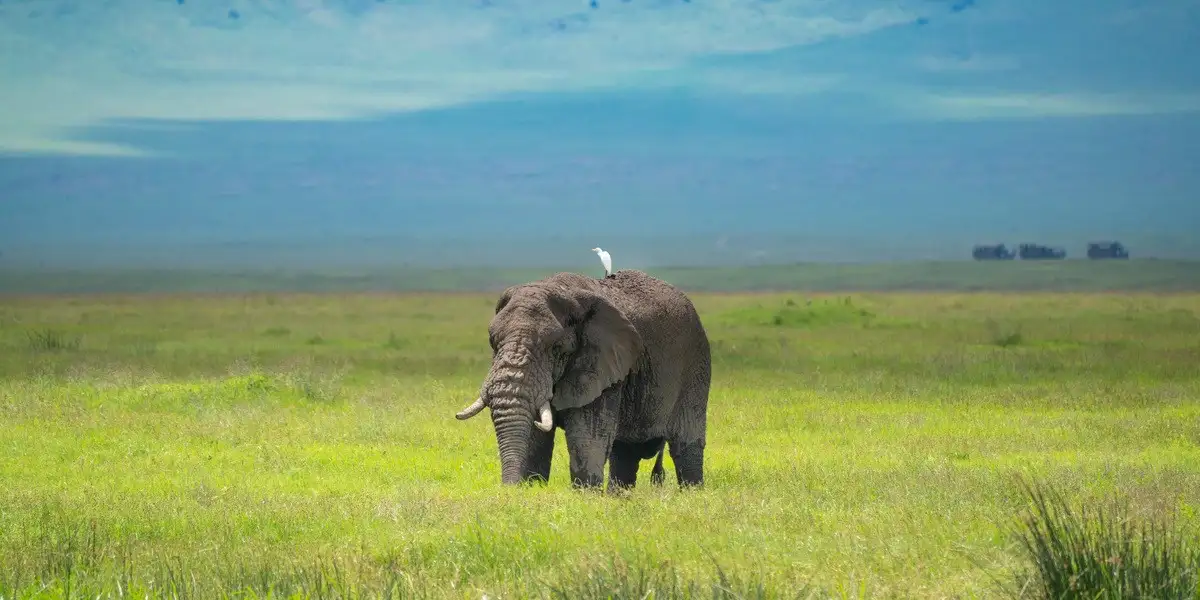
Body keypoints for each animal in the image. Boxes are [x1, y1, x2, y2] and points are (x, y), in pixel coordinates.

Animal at [454, 269, 712, 491]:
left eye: (556, 348)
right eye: (493, 342)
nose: (508, 488)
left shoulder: (602, 363)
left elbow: (587, 436)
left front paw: (585, 497)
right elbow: (536, 437)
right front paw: (530, 489)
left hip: (695, 361)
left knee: (685, 445)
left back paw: (692, 493)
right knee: (625, 452)